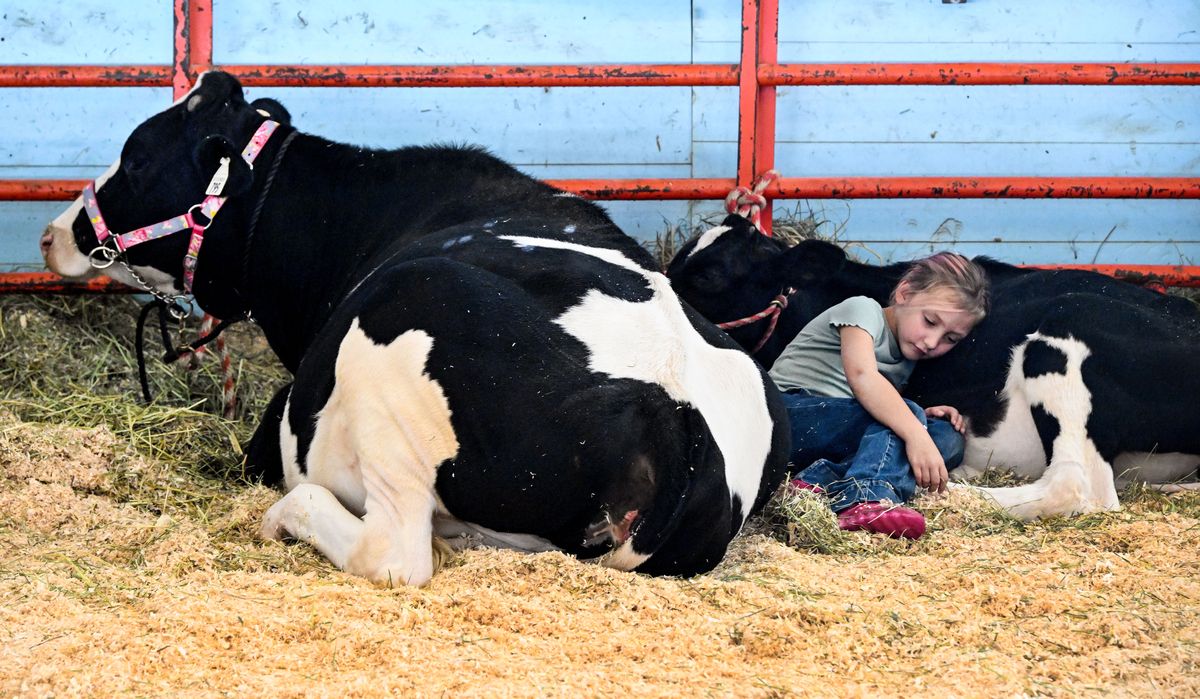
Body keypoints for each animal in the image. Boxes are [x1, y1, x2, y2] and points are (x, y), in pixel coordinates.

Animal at [40, 72, 791, 586]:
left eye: (136, 157)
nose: (52, 236)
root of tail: (674, 412)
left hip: (399, 337)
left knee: (392, 553)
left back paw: (289, 518)